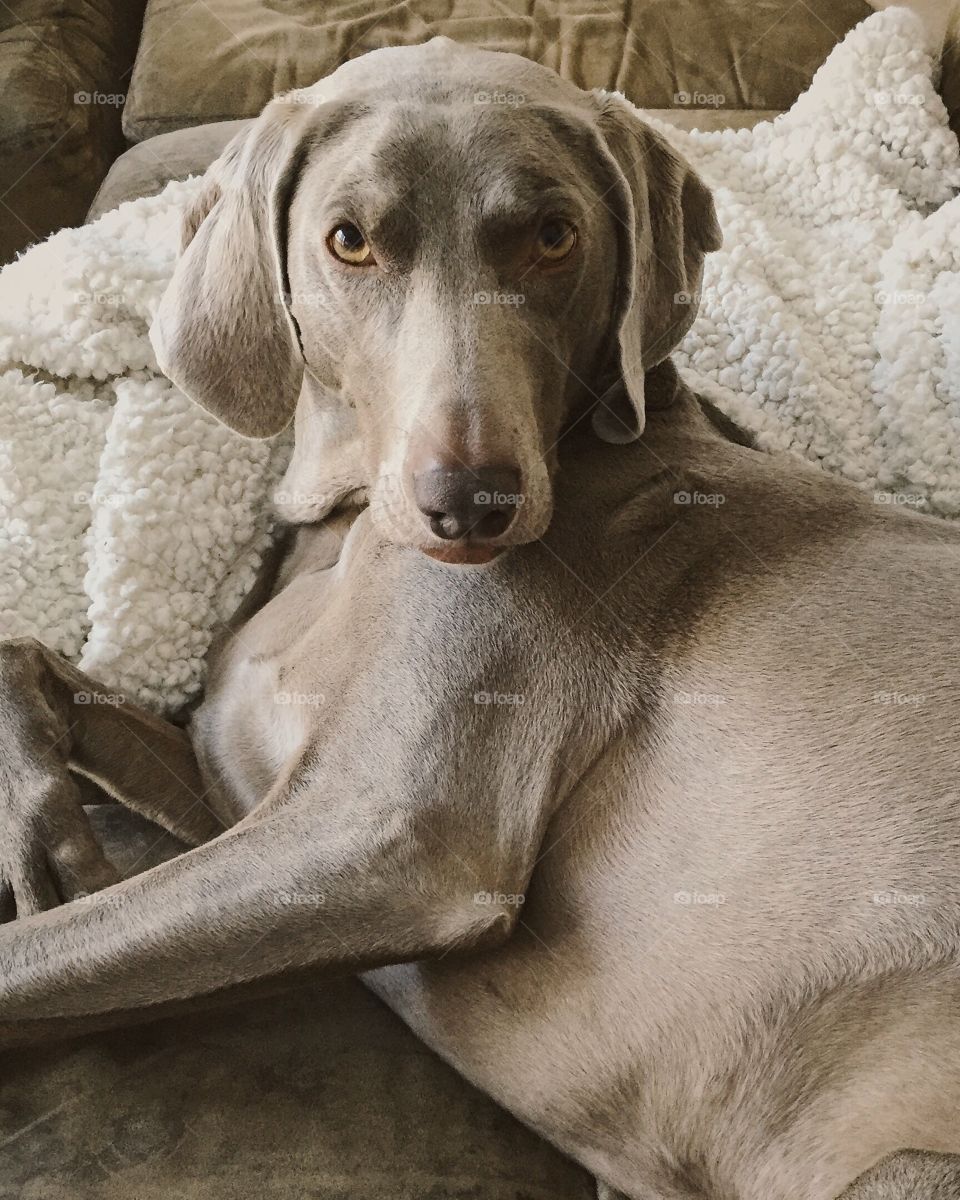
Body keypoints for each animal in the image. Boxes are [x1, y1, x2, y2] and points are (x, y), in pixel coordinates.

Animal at [1, 37, 960, 1200]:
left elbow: (36, 959)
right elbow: (24, 660)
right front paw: (49, 836)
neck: (349, 532)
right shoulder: (242, 772)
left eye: (554, 236)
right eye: (350, 241)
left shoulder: (391, 842)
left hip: (898, 1168)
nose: (474, 503)